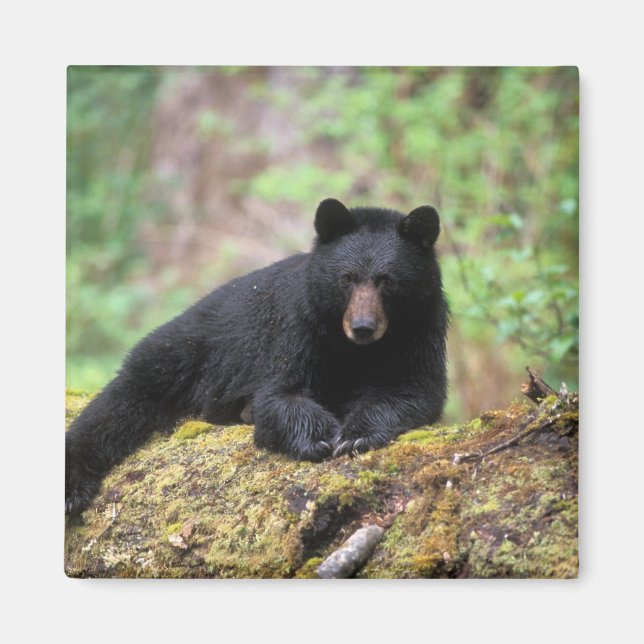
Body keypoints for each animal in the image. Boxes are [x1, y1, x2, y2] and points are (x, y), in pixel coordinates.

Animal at [65, 198, 449, 515]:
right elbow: (280, 392)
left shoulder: (421, 329)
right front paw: (318, 436)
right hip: (182, 352)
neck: (355, 350)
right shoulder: (297, 326)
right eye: (347, 279)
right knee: (118, 405)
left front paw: (357, 434)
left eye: (387, 281)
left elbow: (412, 389)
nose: (363, 327)